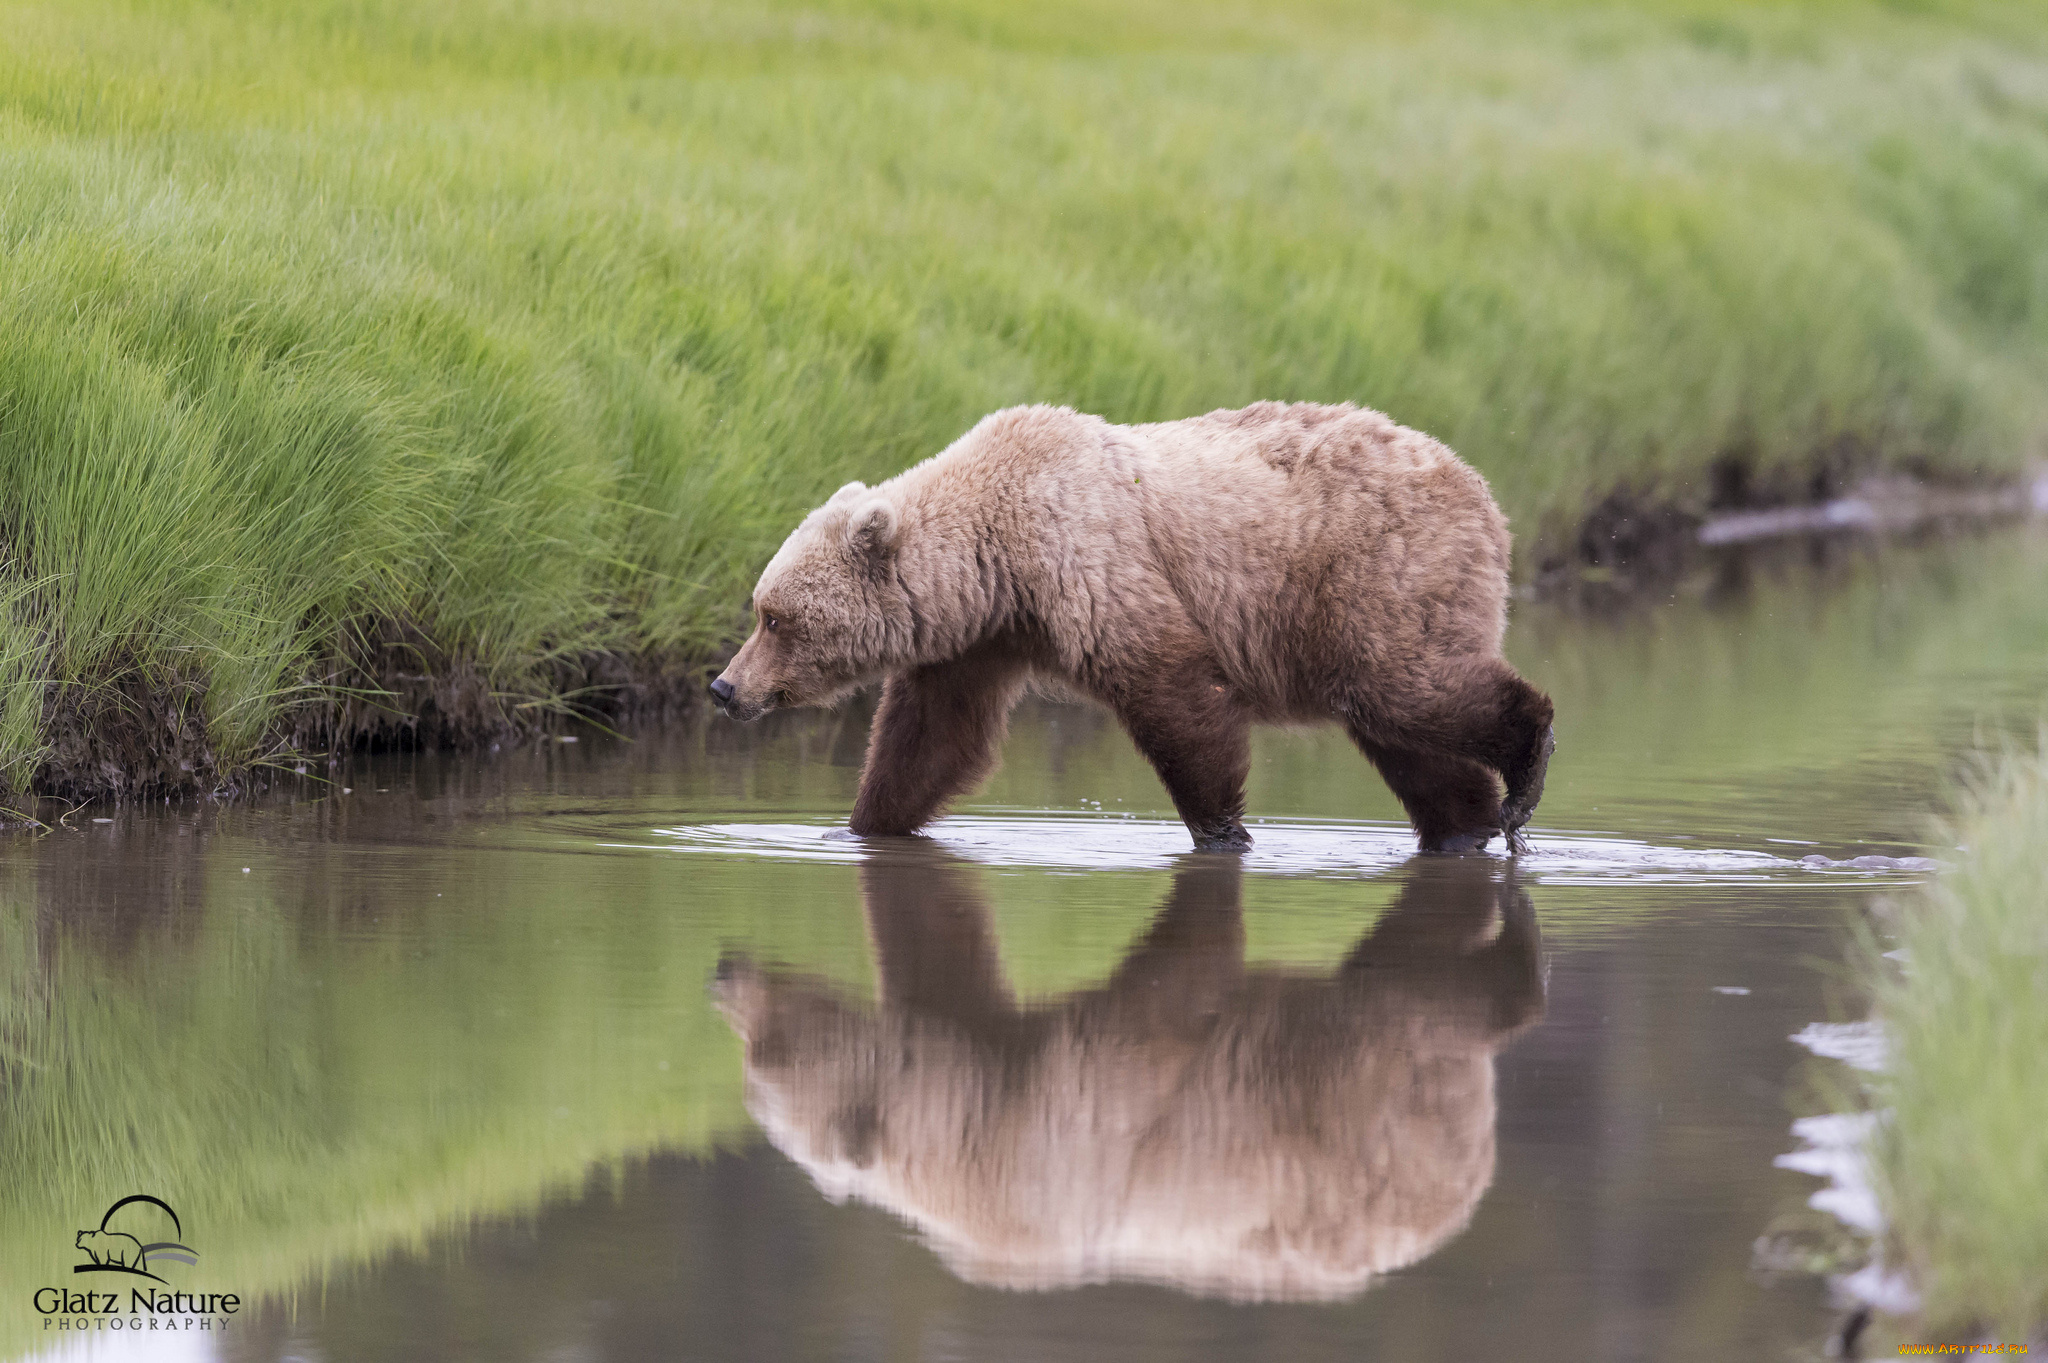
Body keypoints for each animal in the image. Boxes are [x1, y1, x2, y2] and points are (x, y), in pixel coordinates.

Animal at [708, 401, 1548, 851]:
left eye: (775, 617)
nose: (723, 687)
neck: (995, 556)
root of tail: (1483, 491)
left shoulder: (1094, 565)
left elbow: (1176, 696)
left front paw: (1221, 830)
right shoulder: (980, 640)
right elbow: (931, 739)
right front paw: (859, 825)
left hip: (1373, 576)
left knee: (1407, 688)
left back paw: (1526, 761)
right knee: (1406, 738)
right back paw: (1466, 823)